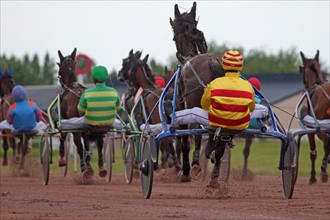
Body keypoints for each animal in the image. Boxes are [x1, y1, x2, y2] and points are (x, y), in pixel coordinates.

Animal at [56, 47, 107, 177]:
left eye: (59, 67)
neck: (71, 87)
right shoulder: (86, 131)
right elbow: (88, 147)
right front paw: (89, 166)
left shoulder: (66, 122)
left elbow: (63, 136)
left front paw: (61, 160)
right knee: (100, 143)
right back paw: (101, 168)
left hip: (76, 129)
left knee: (79, 146)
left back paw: (84, 169)